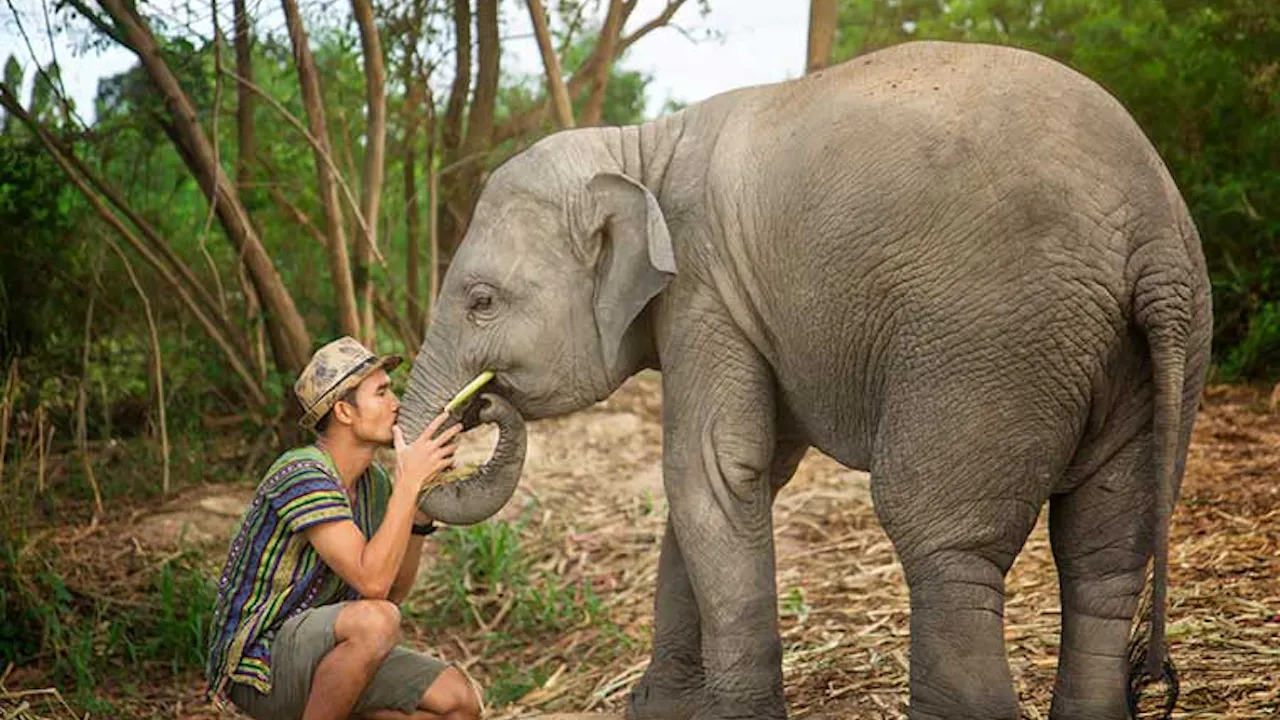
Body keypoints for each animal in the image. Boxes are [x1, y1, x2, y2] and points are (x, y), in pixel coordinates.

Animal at [402, 40, 1212, 720]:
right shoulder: (737, 308)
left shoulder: (705, 290)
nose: (480, 406)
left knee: (944, 541)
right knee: (1104, 552)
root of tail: (1151, 235)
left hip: (992, 343)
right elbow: (732, 482)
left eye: (480, 301)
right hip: (1152, 355)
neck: (643, 146)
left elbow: (709, 470)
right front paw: (656, 713)